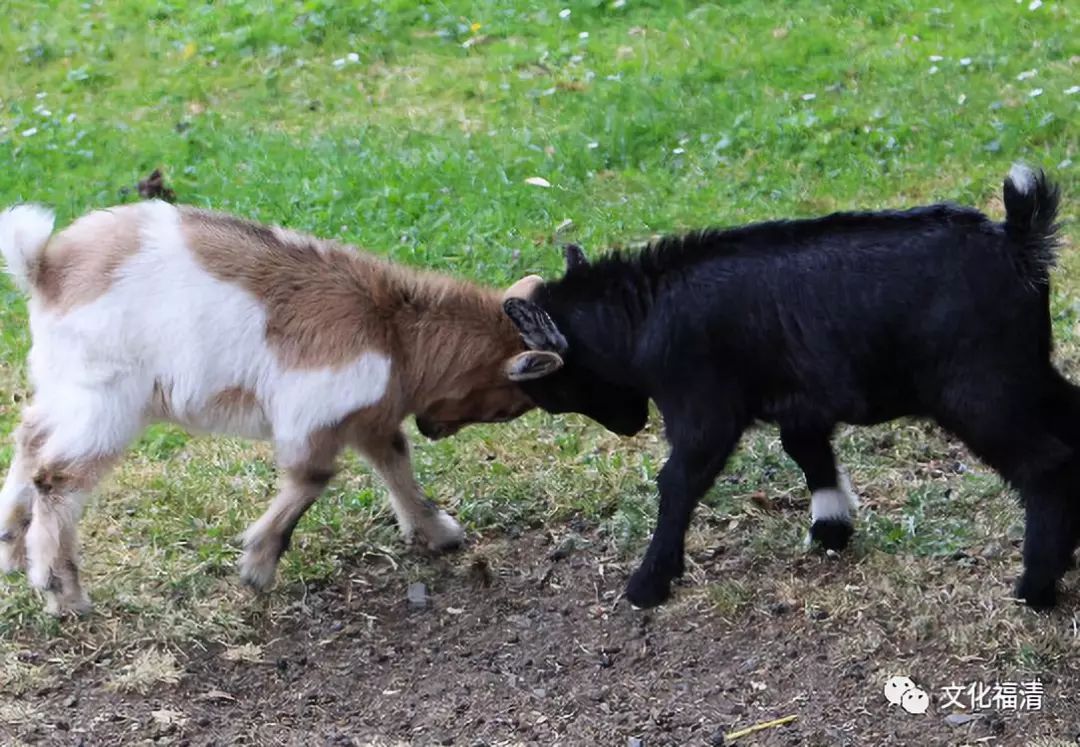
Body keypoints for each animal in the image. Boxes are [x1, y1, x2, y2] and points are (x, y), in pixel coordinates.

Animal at [0, 198, 561, 613]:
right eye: (508, 407)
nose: (435, 429)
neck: (395, 330)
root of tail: (47, 269)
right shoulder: (313, 412)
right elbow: (312, 478)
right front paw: (257, 566)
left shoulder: (368, 417)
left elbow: (396, 463)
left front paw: (440, 533)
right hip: (107, 401)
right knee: (57, 478)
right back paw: (63, 594)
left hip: (64, 386)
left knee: (29, 438)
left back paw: (11, 550)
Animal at [503, 166, 1062, 608]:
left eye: (555, 390)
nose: (629, 426)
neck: (644, 311)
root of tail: (1017, 241)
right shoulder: (801, 401)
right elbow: (806, 450)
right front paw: (832, 528)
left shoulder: (704, 409)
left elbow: (678, 481)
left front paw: (648, 583)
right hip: (1026, 370)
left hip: (979, 389)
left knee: (1044, 464)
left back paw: (1037, 587)